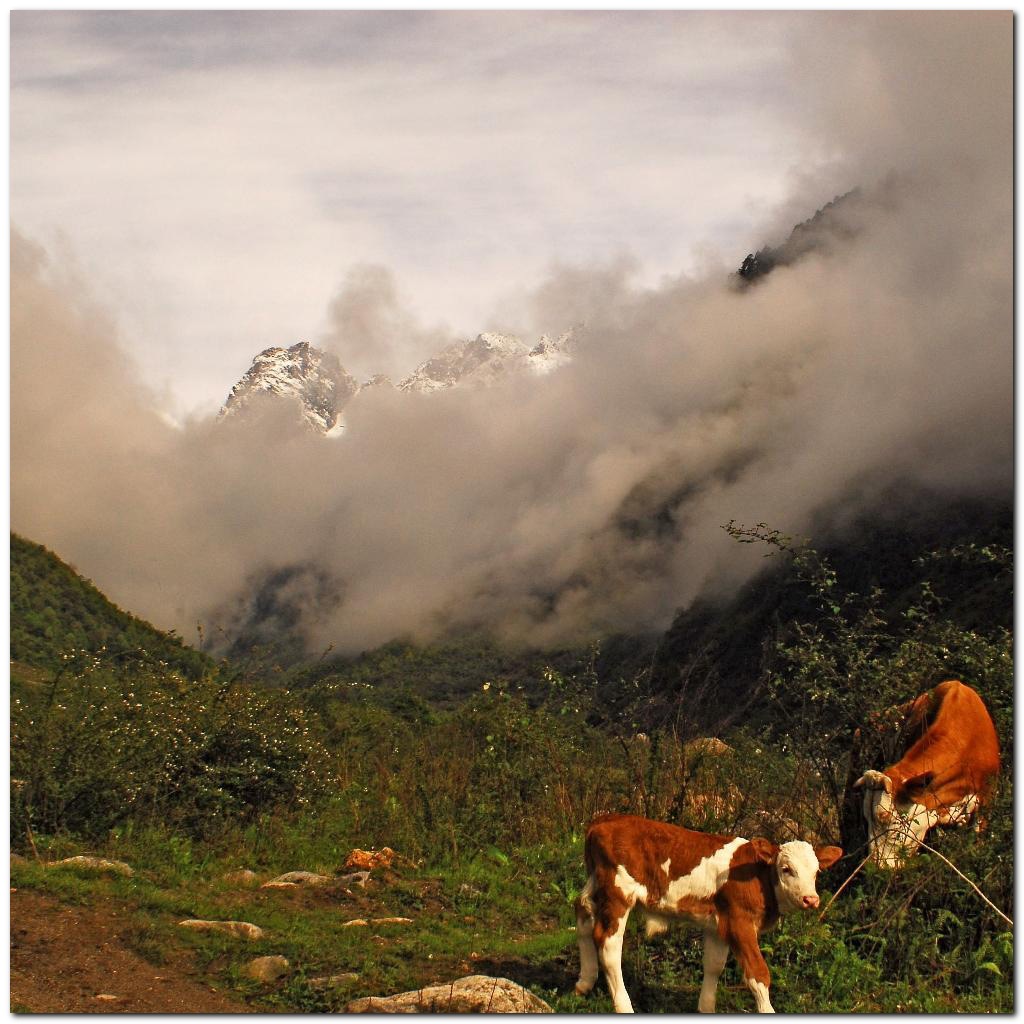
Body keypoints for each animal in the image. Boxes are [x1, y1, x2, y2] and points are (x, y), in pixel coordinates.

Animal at [573, 811, 843, 1011]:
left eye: (816, 872)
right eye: (786, 869)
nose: (811, 899)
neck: (758, 875)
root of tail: (605, 820)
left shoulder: (719, 923)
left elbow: (714, 965)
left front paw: (706, 1008)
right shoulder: (740, 921)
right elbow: (758, 974)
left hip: (596, 883)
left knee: (582, 912)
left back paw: (584, 983)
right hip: (618, 893)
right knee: (608, 944)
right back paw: (623, 1006)